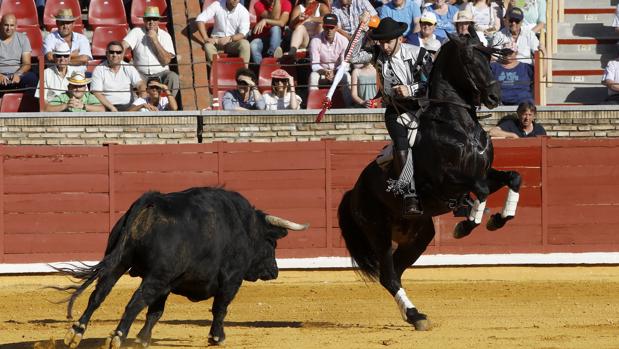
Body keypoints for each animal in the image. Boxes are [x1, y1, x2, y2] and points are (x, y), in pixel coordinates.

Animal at [57, 188, 308, 348]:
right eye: (272, 243)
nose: (274, 271)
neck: (246, 227)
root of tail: (153, 201)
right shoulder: (231, 279)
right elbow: (220, 308)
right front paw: (217, 337)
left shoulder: (168, 283)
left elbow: (155, 311)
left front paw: (142, 339)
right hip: (156, 275)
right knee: (135, 300)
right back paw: (117, 336)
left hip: (119, 263)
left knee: (98, 295)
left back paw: (76, 332)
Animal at [340, 33, 524, 328]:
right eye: (469, 60)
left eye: (488, 57)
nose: (495, 96)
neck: (457, 125)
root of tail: (353, 192)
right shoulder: (443, 183)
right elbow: (481, 190)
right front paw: (466, 224)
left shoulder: (482, 172)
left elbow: (514, 177)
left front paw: (498, 219)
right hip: (377, 231)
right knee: (389, 276)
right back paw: (416, 315)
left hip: (419, 234)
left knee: (395, 273)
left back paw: (413, 315)